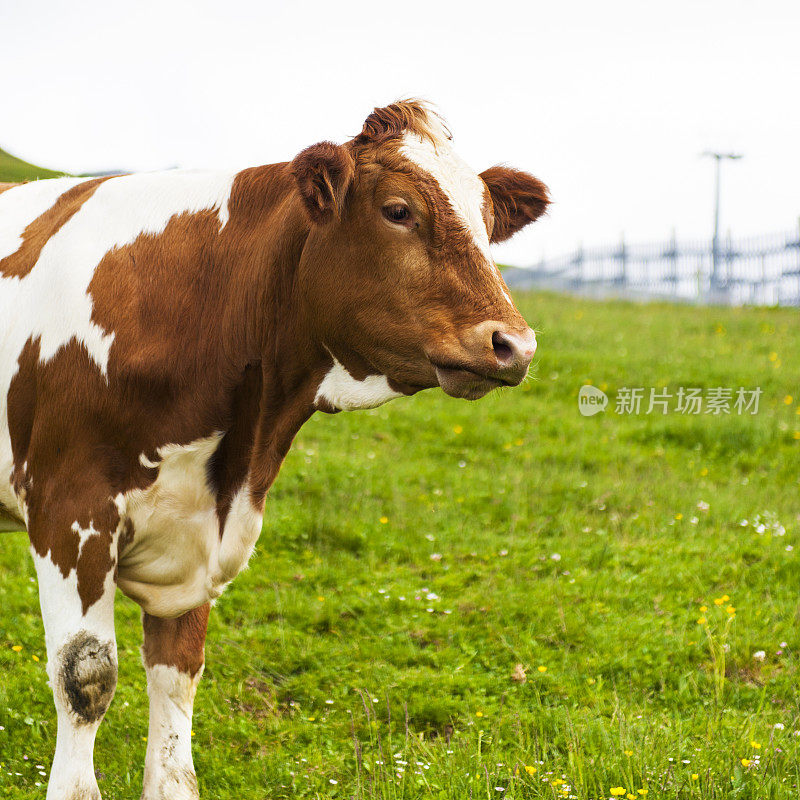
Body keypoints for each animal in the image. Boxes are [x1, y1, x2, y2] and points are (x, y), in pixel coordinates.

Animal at [0, 103, 548, 796]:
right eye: (397, 210)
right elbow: (85, 678)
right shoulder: (70, 511)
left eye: (488, 221)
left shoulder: (196, 536)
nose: (514, 344)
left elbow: (177, 686)